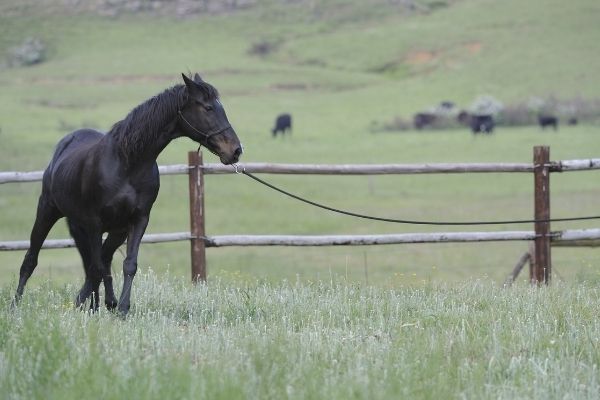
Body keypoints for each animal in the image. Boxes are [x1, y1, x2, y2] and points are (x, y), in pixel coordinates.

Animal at [13, 73, 241, 314]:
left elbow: (127, 264)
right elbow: (96, 267)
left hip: (112, 230)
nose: (236, 150)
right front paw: (97, 305)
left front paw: (121, 308)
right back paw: (15, 305)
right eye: (208, 108)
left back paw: (98, 303)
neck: (127, 163)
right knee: (32, 258)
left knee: (101, 260)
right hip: (48, 211)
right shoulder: (94, 223)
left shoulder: (138, 220)